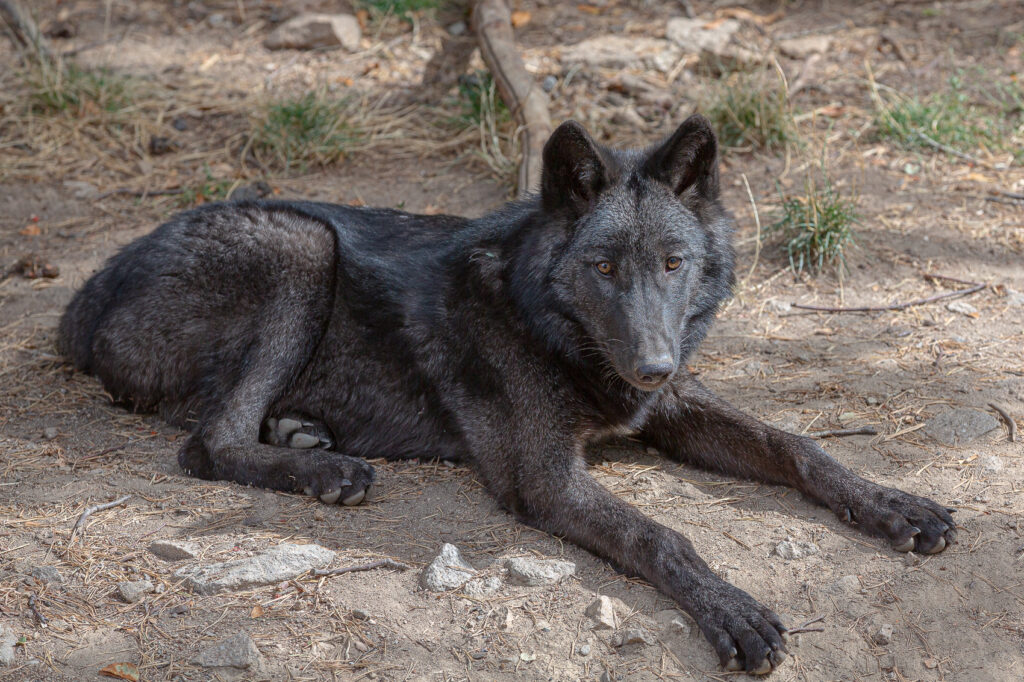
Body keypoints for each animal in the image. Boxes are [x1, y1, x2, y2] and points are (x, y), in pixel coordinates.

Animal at [59, 114, 954, 671]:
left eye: (673, 262)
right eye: (603, 266)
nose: (655, 365)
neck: (554, 329)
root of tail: (91, 286)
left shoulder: (669, 409)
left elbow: (796, 445)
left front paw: (894, 505)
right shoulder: (547, 478)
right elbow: (663, 536)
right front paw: (730, 606)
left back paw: (304, 434)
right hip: (300, 242)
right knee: (206, 444)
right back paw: (324, 470)